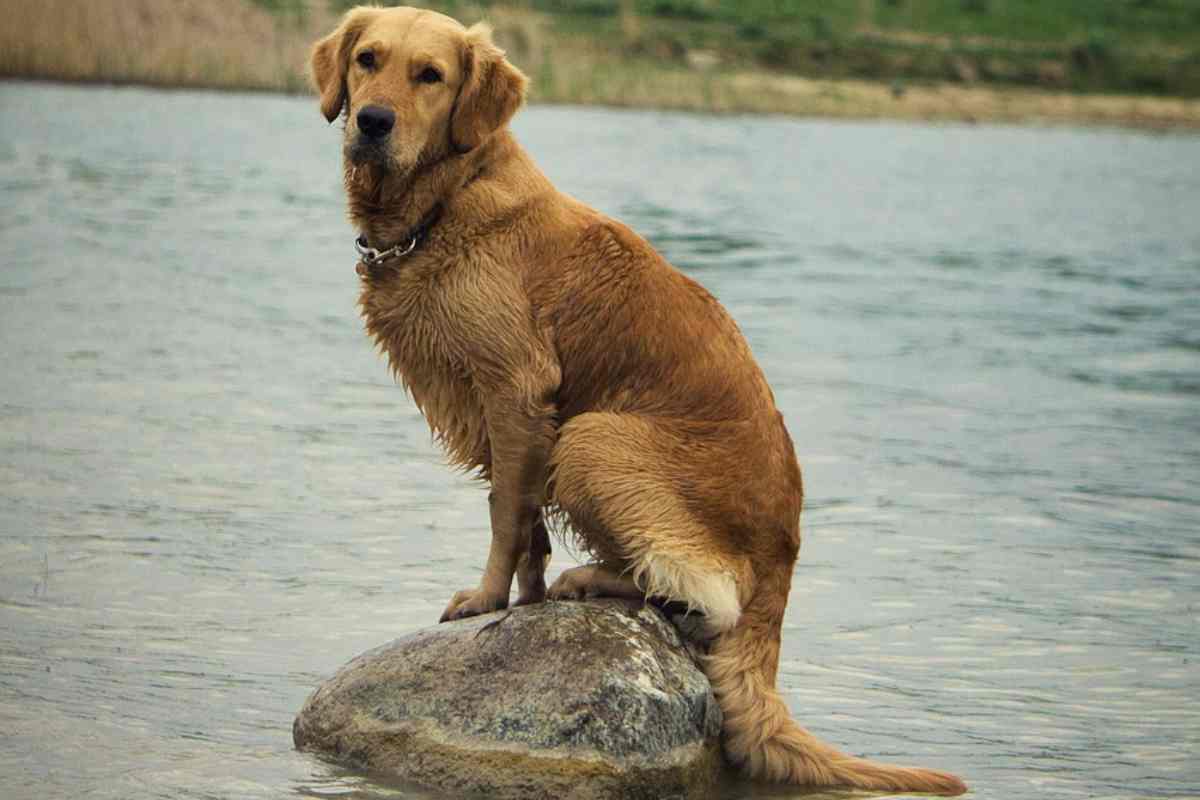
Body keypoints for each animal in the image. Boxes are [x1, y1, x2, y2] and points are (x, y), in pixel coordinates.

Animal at [307, 6, 964, 796]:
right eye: (368, 60)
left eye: (430, 75)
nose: (372, 121)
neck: (447, 198)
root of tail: (785, 561)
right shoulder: (509, 419)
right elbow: (524, 522)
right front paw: (524, 597)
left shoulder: (516, 389)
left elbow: (504, 516)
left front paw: (488, 599)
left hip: (595, 436)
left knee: (701, 598)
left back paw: (595, 579)